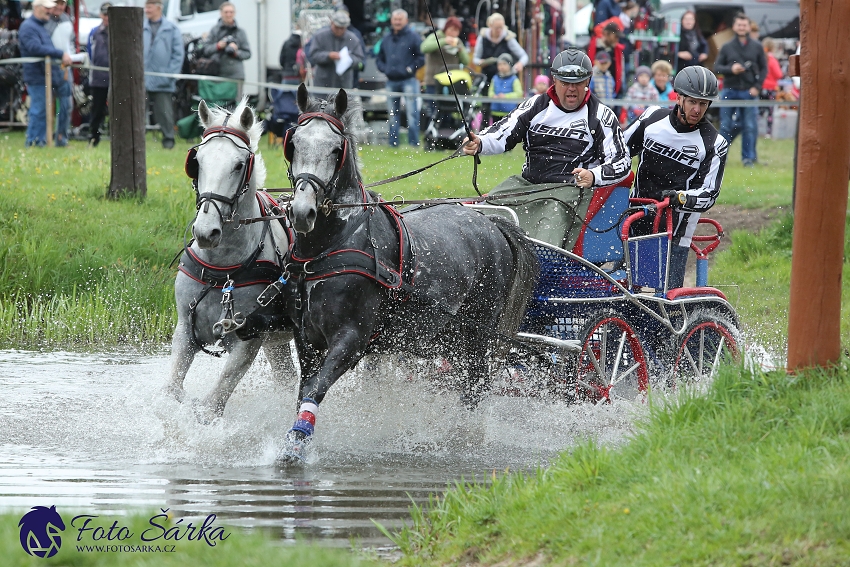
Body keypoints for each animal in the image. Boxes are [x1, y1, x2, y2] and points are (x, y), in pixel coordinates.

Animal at [164, 98, 296, 422]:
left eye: (238, 165)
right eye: (196, 162)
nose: (205, 231)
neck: (223, 271)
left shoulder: (248, 342)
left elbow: (214, 402)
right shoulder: (185, 331)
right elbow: (171, 389)